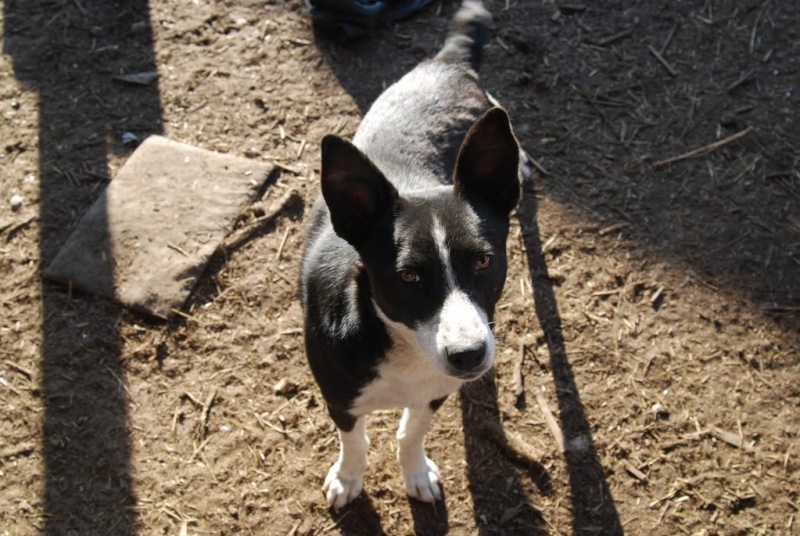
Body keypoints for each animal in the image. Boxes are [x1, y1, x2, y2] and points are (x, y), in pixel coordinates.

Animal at [304, 0, 520, 508]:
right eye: (408, 276)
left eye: (484, 261)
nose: (469, 356)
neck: (400, 347)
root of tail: (448, 60)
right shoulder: (339, 397)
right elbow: (355, 441)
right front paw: (348, 478)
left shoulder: (435, 391)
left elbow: (410, 432)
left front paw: (416, 472)